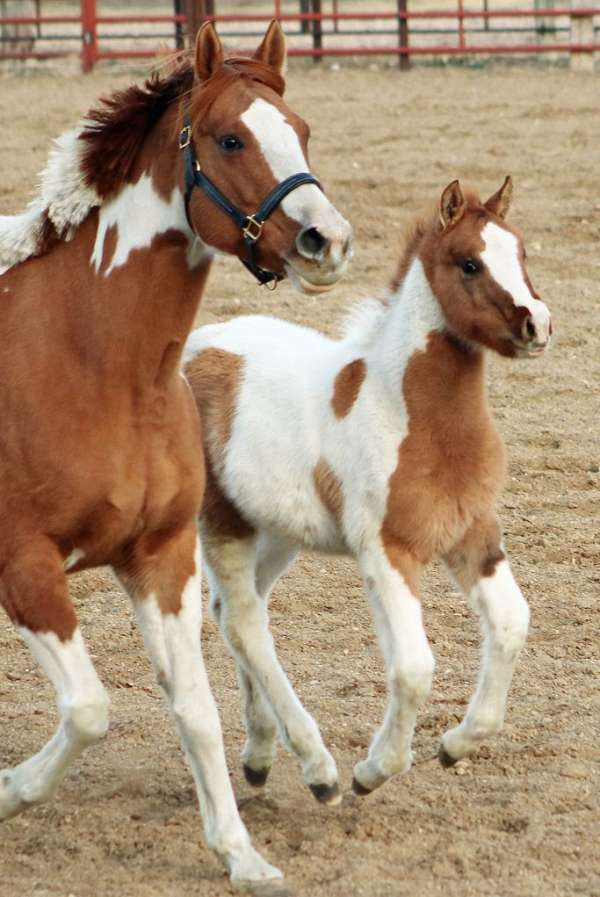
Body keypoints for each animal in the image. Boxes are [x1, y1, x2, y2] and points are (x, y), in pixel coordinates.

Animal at [0, 19, 352, 880]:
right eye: (230, 139)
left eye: (300, 132)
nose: (326, 241)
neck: (89, 362)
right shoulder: (23, 565)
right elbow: (90, 708)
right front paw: (11, 790)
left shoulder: (159, 557)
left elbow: (194, 708)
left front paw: (240, 853)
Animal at [186, 177, 552, 800]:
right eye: (469, 262)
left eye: (522, 251)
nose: (538, 325)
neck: (412, 414)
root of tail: (194, 348)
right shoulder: (387, 549)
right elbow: (413, 667)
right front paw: (373, 771)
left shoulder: (473, 533)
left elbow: (510, 625)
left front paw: (456, 745)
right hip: (223, 522)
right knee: (244, 624)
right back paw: (319, 769)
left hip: (277, 533)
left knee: (235, 613)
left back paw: (260, 755)